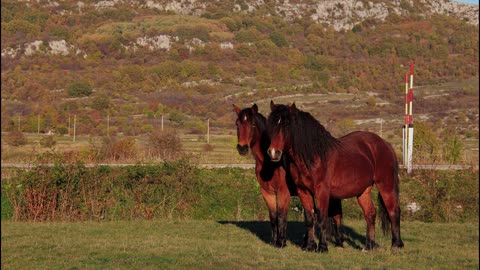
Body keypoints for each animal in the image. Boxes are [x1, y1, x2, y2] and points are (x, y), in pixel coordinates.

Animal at [233, 104, 344, 251]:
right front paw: (274, 241)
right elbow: (273, 217)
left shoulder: (283, 192)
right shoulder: (267, 192)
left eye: (252, 124)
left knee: (336, 215)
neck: (270, 164)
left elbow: (281, 217)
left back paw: (338, 242)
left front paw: (281, 242)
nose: (242, 148)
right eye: (237, 124)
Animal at [268, 101, 404, 253]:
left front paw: (322, 247)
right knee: (370, 214)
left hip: (386, 185)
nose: (273, 153)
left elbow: (321, 218)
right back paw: (368, 246)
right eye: (271, 125)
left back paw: (396, 245)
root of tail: (385, 144)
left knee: (393, 211)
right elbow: (309, 218)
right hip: (363, 191)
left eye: (286, 126)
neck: (314, 156)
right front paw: (310, 246)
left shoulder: (322, 191)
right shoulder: (303, 191)